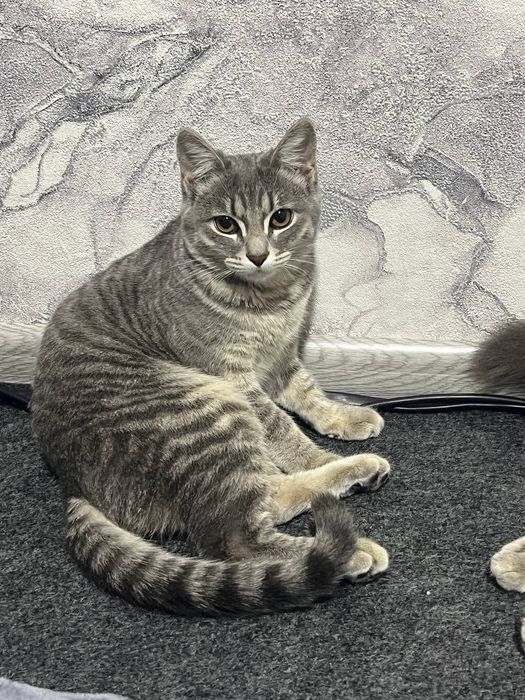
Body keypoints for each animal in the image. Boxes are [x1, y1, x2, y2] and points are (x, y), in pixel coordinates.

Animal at [31, 118, 391, 615]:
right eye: (225, 224)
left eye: (281, 218)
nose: (257, 254)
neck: (271, 301)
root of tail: (74, 486)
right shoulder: (232, 374)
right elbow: (281, 426)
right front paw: (319, 453)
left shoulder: (280, 359)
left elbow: (309, 394)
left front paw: (345, 415)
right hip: (209, 407)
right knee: (237, 537)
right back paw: (351, 540)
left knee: (267, 496)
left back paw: (354, 473)